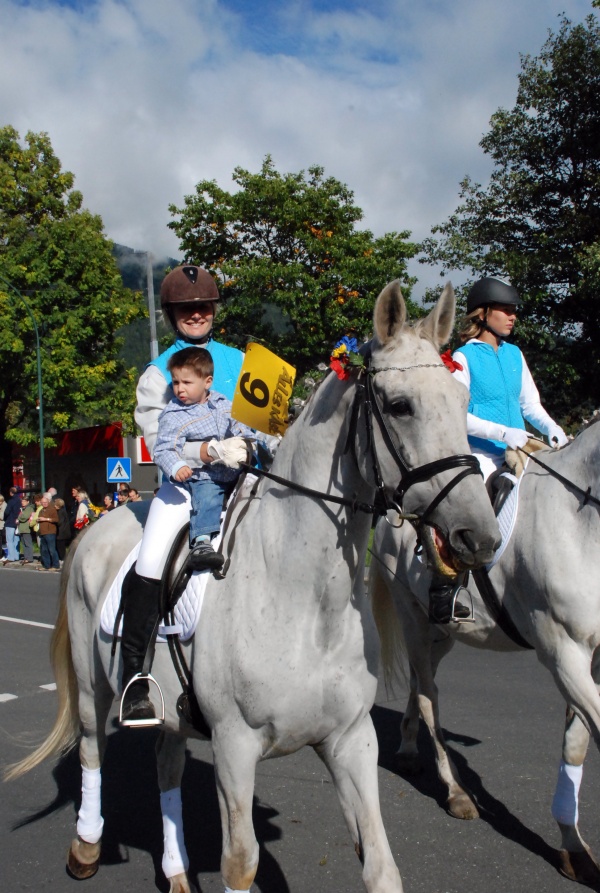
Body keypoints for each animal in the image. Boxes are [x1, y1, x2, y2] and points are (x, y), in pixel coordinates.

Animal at [7, 282, 500, 892]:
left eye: (462, 402)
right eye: (399, 406)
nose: (479, 536)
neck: (304, 603)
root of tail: (102, 522)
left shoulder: (352, 741)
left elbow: (382, 868)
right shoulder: (235, 748)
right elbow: (240, 862)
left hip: (175, 713)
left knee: (166, 764)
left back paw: (175, 872)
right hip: (92, 684)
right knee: (92, 751)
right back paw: (86, 848)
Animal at [370, 422, 600, 888]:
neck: (580, 520)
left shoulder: (590, 659)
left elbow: (576, 745)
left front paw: (573, 848)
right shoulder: (565, 654)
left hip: (442, 630)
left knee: (422, 681)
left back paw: (408, 749)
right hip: (411, 614)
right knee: (428, 695)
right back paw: (456, 791)